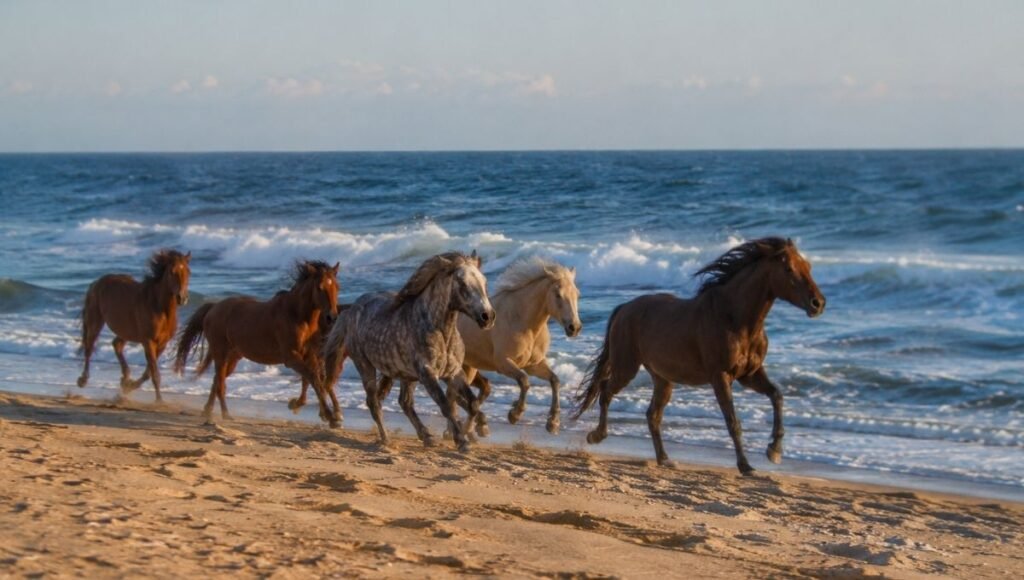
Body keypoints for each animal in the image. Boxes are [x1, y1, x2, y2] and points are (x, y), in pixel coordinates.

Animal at [77, 249, 191, 401]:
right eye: (172, 272)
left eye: (188, 272)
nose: (182, 298)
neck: (159, 308)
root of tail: (96, 283)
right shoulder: (148, 342)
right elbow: (154, 373)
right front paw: (159, 400)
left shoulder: (162, 343)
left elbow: (149, 372)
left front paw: (129, 386)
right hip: (95, 322)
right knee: (89, 348)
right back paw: (83, 380)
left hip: (126, 330)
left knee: (117, 344)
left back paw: (125, 378)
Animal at [174, 260, 341, 425]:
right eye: (320, 287)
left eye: (337, 287)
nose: (332, 317)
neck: (297, 316)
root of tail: (213, 307)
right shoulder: (291, 358)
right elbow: (313, 379)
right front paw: (330, 417)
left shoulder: (309, 356)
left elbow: (314, 379)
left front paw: (300, 405)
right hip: (220, 354)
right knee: (220, 384)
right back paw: (225, 415)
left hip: (233, 358)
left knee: (217, 381)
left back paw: (208, 411)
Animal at [322, 251, 495, 452]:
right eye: (463, 283)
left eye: (484, 281)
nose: (488, 316)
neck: (441, 332)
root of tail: (351, 310)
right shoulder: (428, 374)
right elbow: (446, 405)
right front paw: (462, 441)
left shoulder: (454, 372)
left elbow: (472, 404)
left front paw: (473, 431)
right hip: (365, 366)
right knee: (374, 403)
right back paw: (386, 440)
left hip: (407, 375)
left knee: (404, 402)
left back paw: (427, 436)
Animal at [456, 257, 581, 436]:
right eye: (558, 295)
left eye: (577, 294)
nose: (574, 327)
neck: (523, 322)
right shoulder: (503, 363)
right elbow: (524, 381)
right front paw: (515, 414)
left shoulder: (534, 364)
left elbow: (555, 381)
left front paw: (553, 423)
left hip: (469, 367)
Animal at [574, 237, 826, 475]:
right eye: (789, 269)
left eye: (808, 266)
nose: (818, 303)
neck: (735, 319)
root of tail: (624, 308)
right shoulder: (721, 377)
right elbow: (733, 421)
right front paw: (746, 466)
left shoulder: (750, 374)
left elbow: (777, 396)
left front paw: (774, 450)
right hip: (626, 367)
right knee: (606, 390)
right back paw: (596, 436)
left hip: (663, 378)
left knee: (652, 415)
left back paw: (665, 459)